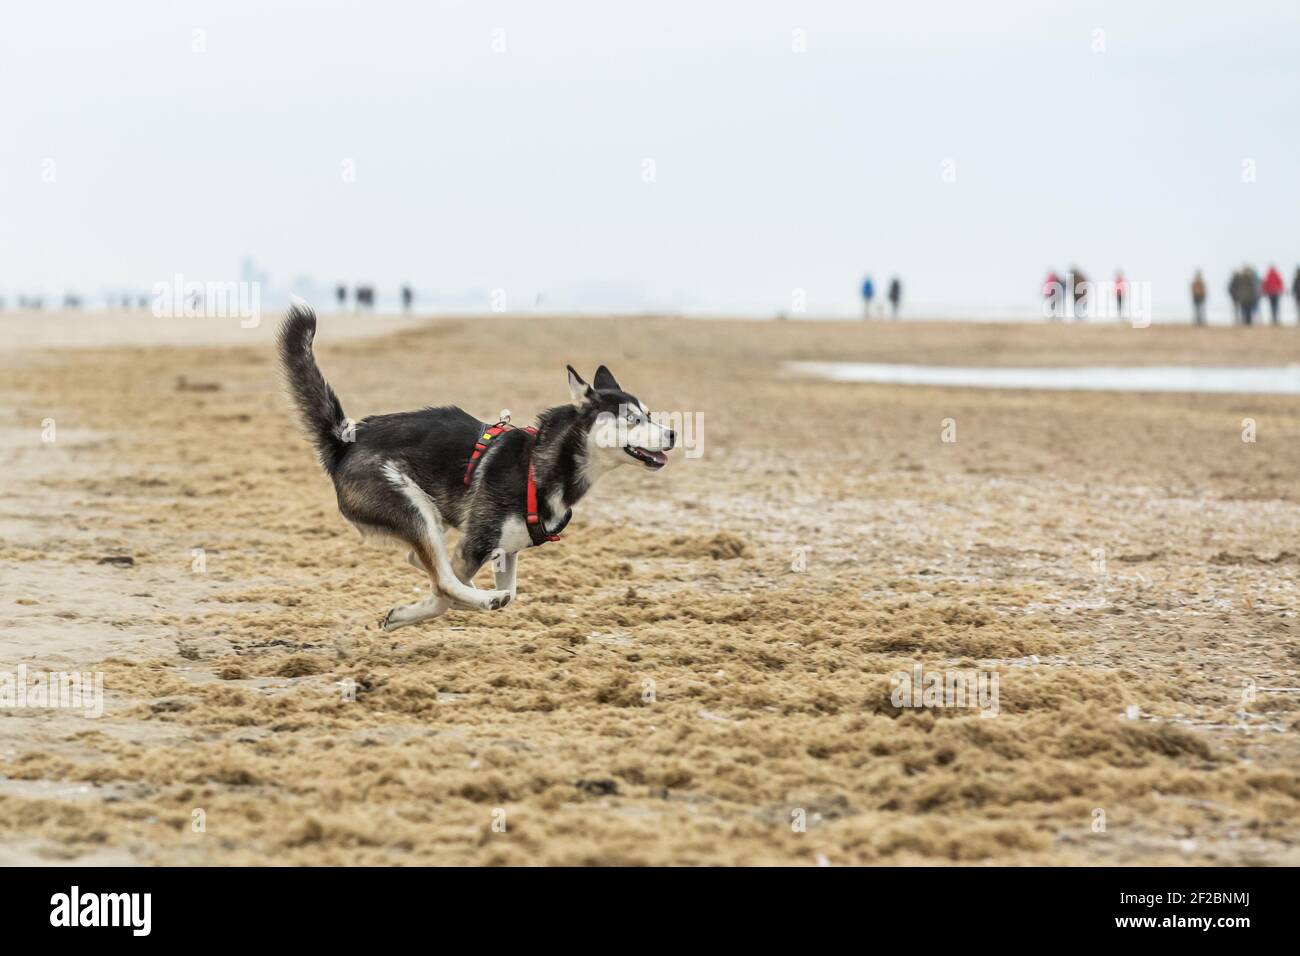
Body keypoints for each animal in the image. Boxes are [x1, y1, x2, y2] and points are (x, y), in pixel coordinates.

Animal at [278, 306, 676, 632]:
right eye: (632, 419)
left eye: (650, 414)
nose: (672, 433)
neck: (538, 462)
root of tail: (344, 441)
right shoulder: (477, 542)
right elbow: (444, 593)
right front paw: (417, 612)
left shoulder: (505, 550)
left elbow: (504, 591)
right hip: (414, 509)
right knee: (441, 578)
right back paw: (479, 599)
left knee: (422, 559)